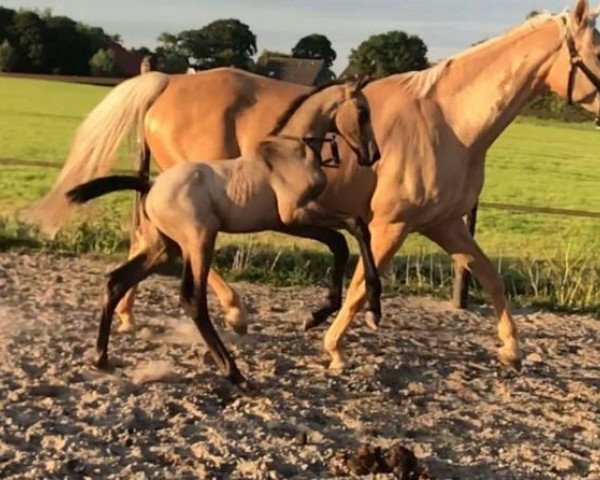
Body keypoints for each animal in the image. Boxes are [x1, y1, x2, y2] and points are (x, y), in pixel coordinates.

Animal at [65, 79, 380, 386]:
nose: (372, 155)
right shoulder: (296, 215)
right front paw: (372, 311)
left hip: (164, 248)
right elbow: (354, 227)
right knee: (192, 299)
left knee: (116, 281)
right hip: (199, 239)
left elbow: (341, 242)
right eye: (363, 113)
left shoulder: (290, 221)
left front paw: (317, 315)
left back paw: (100, 358)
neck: (290, 154)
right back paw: (236, 375)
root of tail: (151, 186)